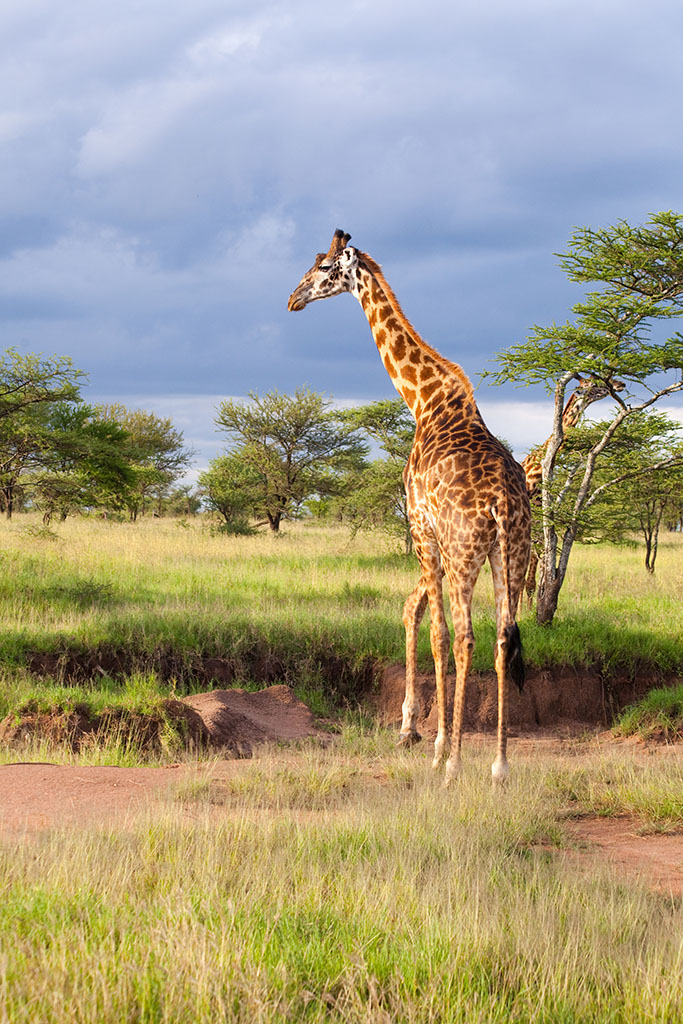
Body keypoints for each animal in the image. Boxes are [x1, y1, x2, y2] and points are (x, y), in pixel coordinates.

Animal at [288, 230, 531, 785]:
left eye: (325, 268)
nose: (292, 299)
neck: (424, 400)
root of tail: (503, 504)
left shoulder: (422, 529)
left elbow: (436, 633)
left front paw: (437, 746)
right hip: (513, 556)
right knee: (503, 639)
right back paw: (500, 766)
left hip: (465, 553)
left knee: (464, 638)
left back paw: (454, 764)